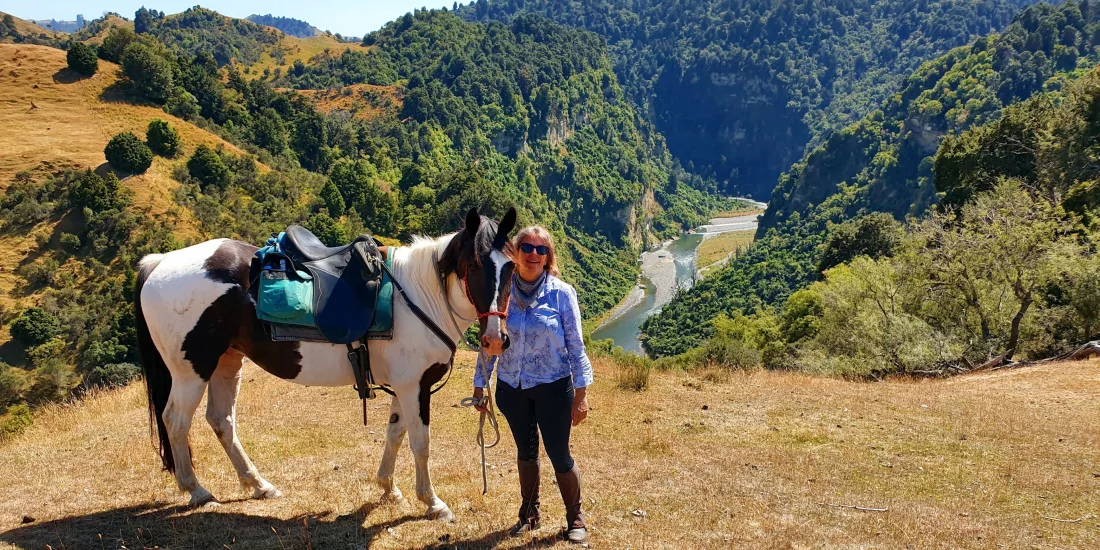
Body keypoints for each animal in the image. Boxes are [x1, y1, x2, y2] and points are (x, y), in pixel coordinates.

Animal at [133, 207, 517, 520]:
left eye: (510, 266)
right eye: (475, 265)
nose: (495, 339)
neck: (419, 296)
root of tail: (160, 262)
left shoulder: (404, 386)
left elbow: (395, 434)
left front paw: (389, 488)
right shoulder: (414, 387)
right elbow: (420, 443)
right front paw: (433, 503)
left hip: (227, 363)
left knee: (221, 421)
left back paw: (258, 485)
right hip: (191, 371)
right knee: (176, 421)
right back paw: (197, 491)